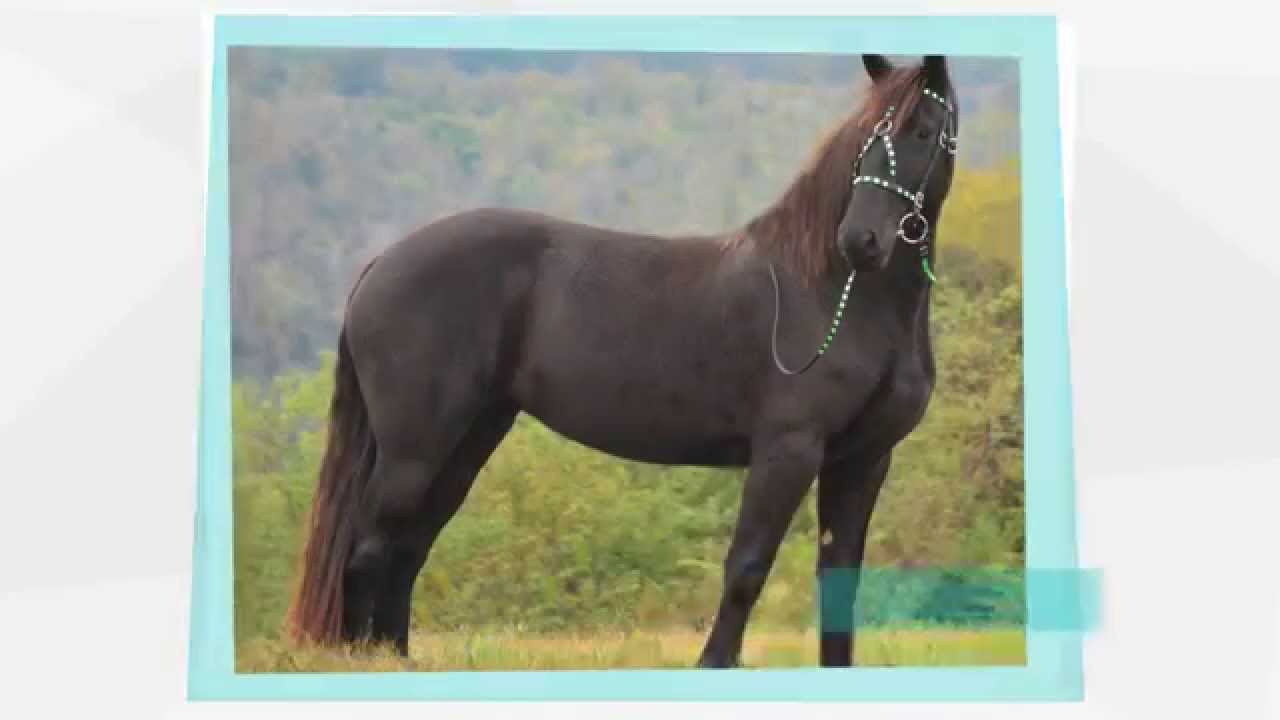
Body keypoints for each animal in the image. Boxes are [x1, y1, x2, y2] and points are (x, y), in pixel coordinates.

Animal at [284, 53, 960, 669]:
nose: (861, 241)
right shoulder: (787, 449)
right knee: (370, 546)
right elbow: (746, 565)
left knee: (408, 546)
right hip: (416, 449)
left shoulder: (863, 458)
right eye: (867, 138)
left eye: (923, 131)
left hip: (468, 441)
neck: (831, 292)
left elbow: (840, 575)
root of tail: (382, 263)